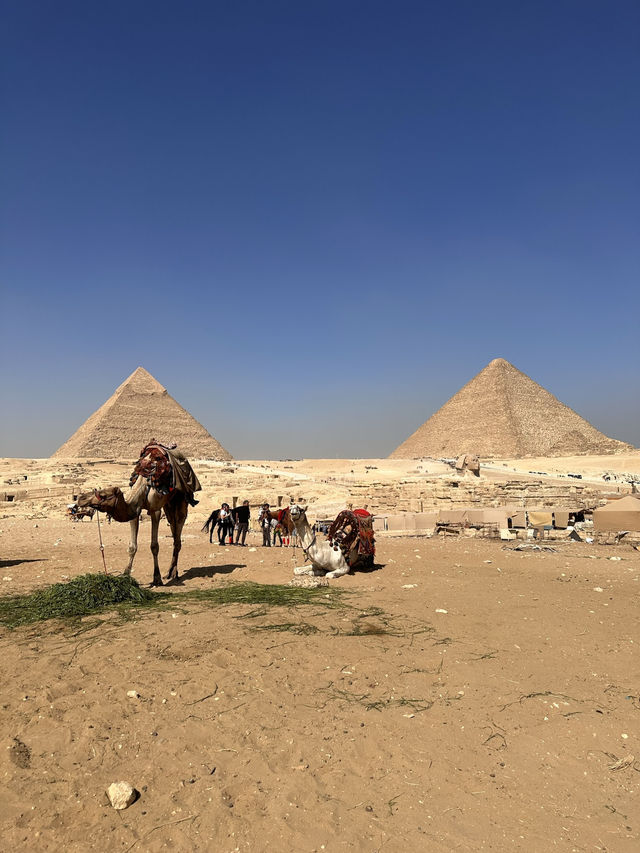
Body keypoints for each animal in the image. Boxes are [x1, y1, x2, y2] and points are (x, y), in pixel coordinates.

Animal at [71, 440, 199, 584]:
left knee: (178, 530)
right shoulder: (135, 512)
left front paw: (157, 578)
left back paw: (174, 574)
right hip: (169, 505)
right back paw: (170, 572)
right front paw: (126, 575)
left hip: (181, 499)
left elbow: (154, 546)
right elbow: (132, 546)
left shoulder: (155, 510)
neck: (144, 485)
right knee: (173, 526)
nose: (80, 499)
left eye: (103, 495)